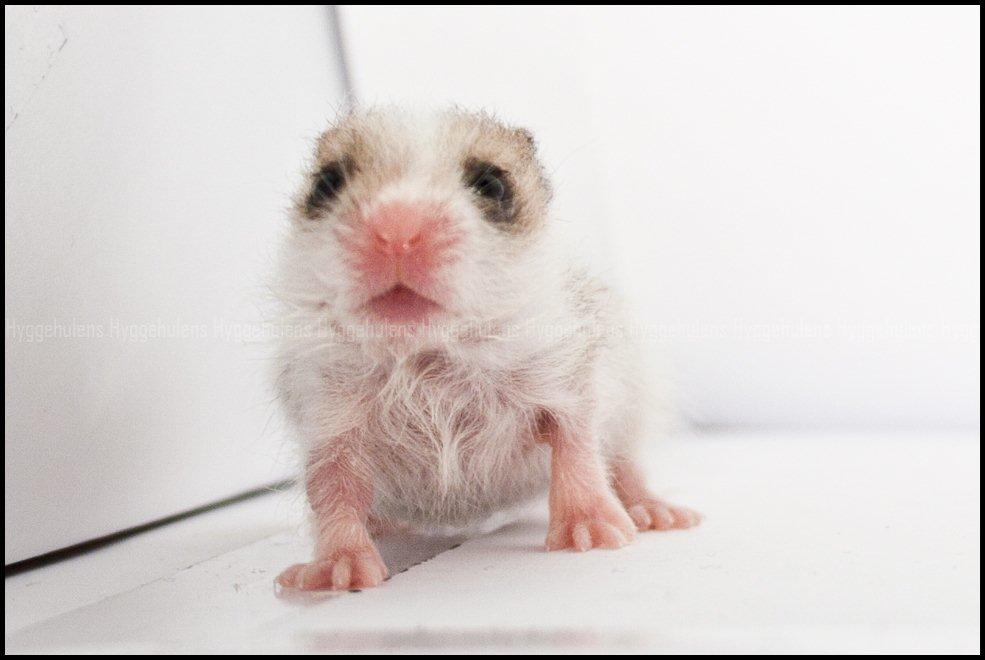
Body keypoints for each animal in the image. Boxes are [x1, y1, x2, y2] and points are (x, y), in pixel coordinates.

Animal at [273, 108, 699, 591]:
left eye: (492, 185)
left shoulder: (568, 380)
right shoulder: (328, 417)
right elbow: (332, 488)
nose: (397, 232)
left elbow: (577, 451)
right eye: (326, 182)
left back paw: (657, 512)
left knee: (625, 463)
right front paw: (335, 571)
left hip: (634, 404)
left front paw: (592, 531)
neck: (429, 353)